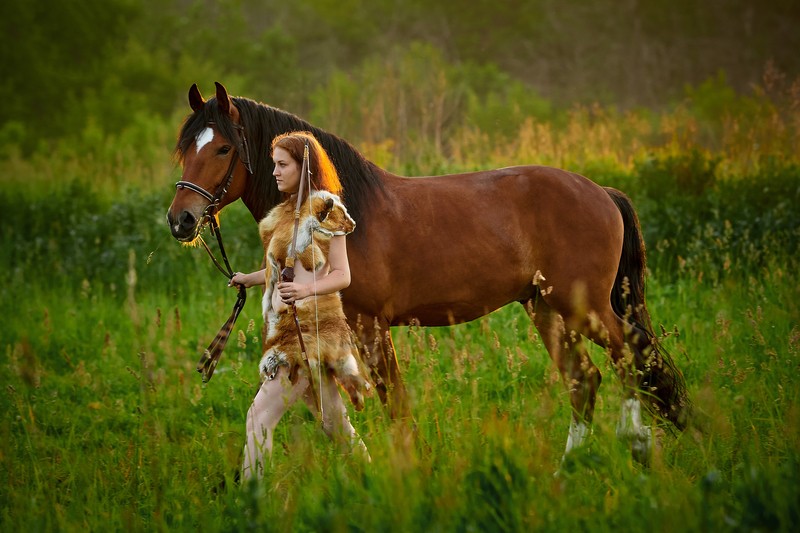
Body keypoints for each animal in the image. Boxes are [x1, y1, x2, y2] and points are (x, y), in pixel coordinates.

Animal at [166, 81, 692, 460]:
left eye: (222, 149)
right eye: (186, 148)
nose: (181, 220)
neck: (352, 211)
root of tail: (602, 192)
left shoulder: (369, 325)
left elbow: (394, 403)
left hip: (583, 307)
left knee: (630, 357)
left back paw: (637, 446)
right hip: (545, 308)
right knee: (586, 380)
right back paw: (570, 470)